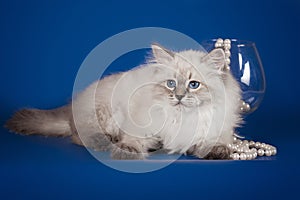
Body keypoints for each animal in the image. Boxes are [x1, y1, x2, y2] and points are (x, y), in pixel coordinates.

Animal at [5, 43, 243, 159]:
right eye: (171, 84)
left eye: (194, 85)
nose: (178, 96)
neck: (181, 117)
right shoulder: (141, 126)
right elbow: (133, 141)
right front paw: (127, 151)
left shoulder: (214, 132)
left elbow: (216, 143)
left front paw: (217, 152)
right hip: (104, 114)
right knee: (80, 137)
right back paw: (109, 142)